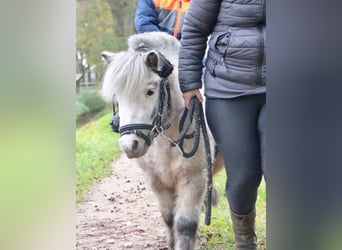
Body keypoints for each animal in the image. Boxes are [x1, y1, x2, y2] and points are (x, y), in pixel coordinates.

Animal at [100, 31, 223, 250]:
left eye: (150, 91)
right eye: (118, 97)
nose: (130, 146)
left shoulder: (193, 179)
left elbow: (185, 224)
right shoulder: (156, 180)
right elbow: (168, 218)